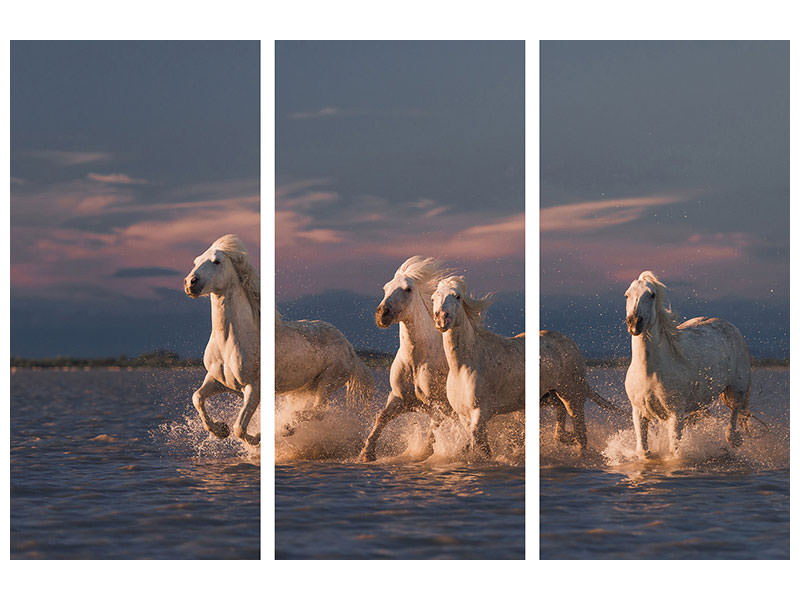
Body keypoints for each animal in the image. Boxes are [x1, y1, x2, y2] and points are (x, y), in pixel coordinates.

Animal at [184, 234, 260, 446]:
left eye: (216, 261)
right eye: (196, 261)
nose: (190, 283)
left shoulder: (254, 387)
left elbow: (240, 427)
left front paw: (257, 437)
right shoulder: (219, 381)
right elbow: (197, 397)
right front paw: (220, 429)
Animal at [360, 255, 454, 462]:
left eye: (407, 289)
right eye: (386, 288)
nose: (381, 314)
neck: (417, 362)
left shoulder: (440, 405)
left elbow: (433, 429)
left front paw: (427, 453)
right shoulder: (399, 399)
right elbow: (381, 418)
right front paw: (366, 454)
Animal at [432, 276, 524, 460]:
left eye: (457, 296)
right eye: (433, 298)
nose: (441, 318)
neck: (463, 367)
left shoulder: (480, 412)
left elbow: (477, 441)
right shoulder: (463, 415)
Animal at [620, 270, 752, 458]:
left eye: (651, 295)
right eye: (627, 295)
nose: (634, 323)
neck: (650, 371)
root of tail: (730, 326)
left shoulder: (675, 413)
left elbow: (674, 451)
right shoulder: (639, 412)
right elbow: (643, 451)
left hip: (737, 389)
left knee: (734, 412)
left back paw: (733, 440)